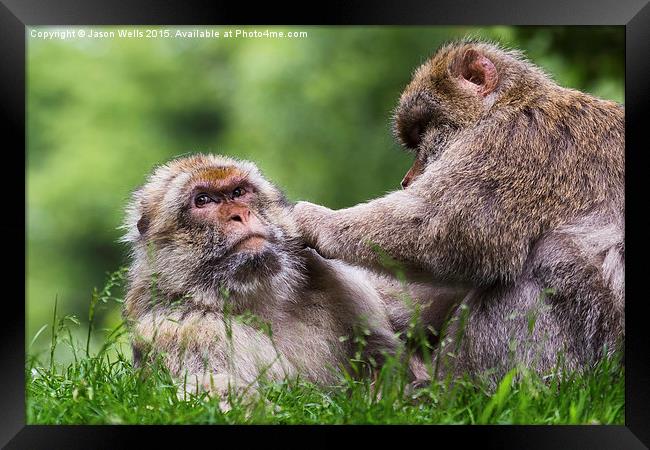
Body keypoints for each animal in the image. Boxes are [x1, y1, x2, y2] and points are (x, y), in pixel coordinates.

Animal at [123, 153, 460, 402]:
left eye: (238, 192)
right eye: (203, 200)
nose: (240, 214)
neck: (257, 296)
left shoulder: (339, 284)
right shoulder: (184, 330)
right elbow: (210, 390)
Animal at [292, 39, 624, 384]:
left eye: (422, 131)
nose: (407, 180)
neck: (509, 104)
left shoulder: (514, 145)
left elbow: (446, 229)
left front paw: (313, 220)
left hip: (596, 347)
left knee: (553, 255)